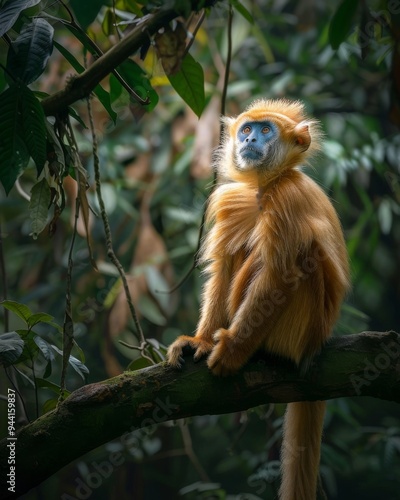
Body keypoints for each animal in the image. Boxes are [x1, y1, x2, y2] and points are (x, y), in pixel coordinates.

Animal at [167, 98, 348, 500]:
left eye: (266, 130)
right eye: (247, 129)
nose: (249, 139)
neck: (265, 187)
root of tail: (317, 343)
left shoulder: (288, 198)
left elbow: (280, 275)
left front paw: (231, 352)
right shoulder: (229, 198)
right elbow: (223, 266)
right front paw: (200, 341)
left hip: (297, 329)